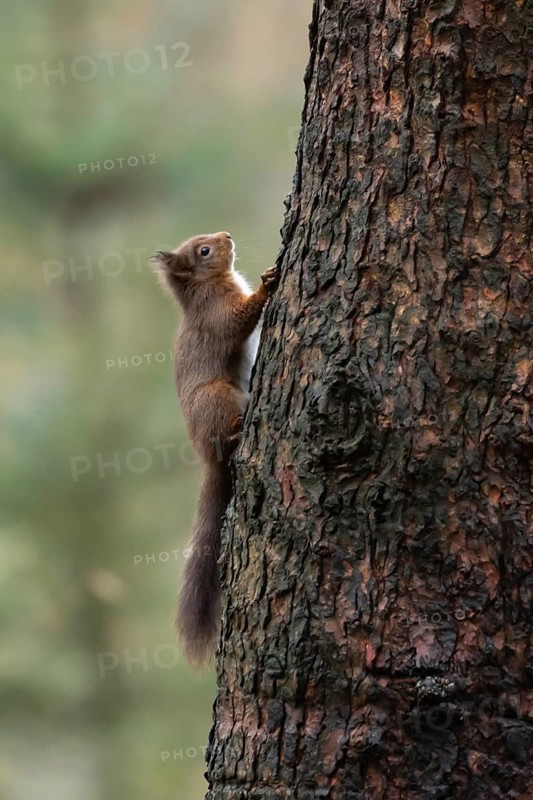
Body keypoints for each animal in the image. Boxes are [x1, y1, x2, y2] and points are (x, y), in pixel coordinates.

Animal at [152, 232, 277, 666]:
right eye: (203, 251)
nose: (226, 236)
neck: (206, 286)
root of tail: (210, 459)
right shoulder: (217, 312)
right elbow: (237, 320)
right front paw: (268, 284)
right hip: (218, 399)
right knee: (226, 436)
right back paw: (237, 434)